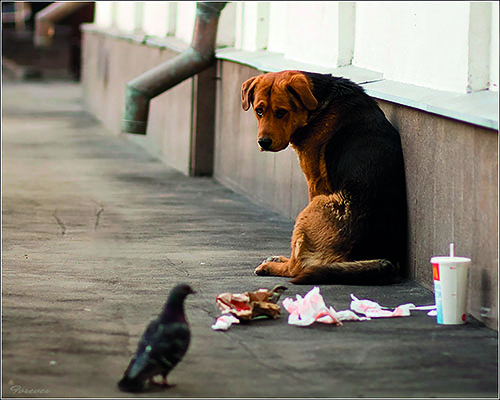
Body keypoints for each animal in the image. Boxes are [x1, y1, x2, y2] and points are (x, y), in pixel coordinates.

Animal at [240, 69, 408, 284]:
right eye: (259, 111)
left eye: (281, 112)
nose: (263, 142)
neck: (319, 103)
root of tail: (389, 261)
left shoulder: (315, 182)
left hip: (315, 206)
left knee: (297, 266)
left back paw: (273, 266)